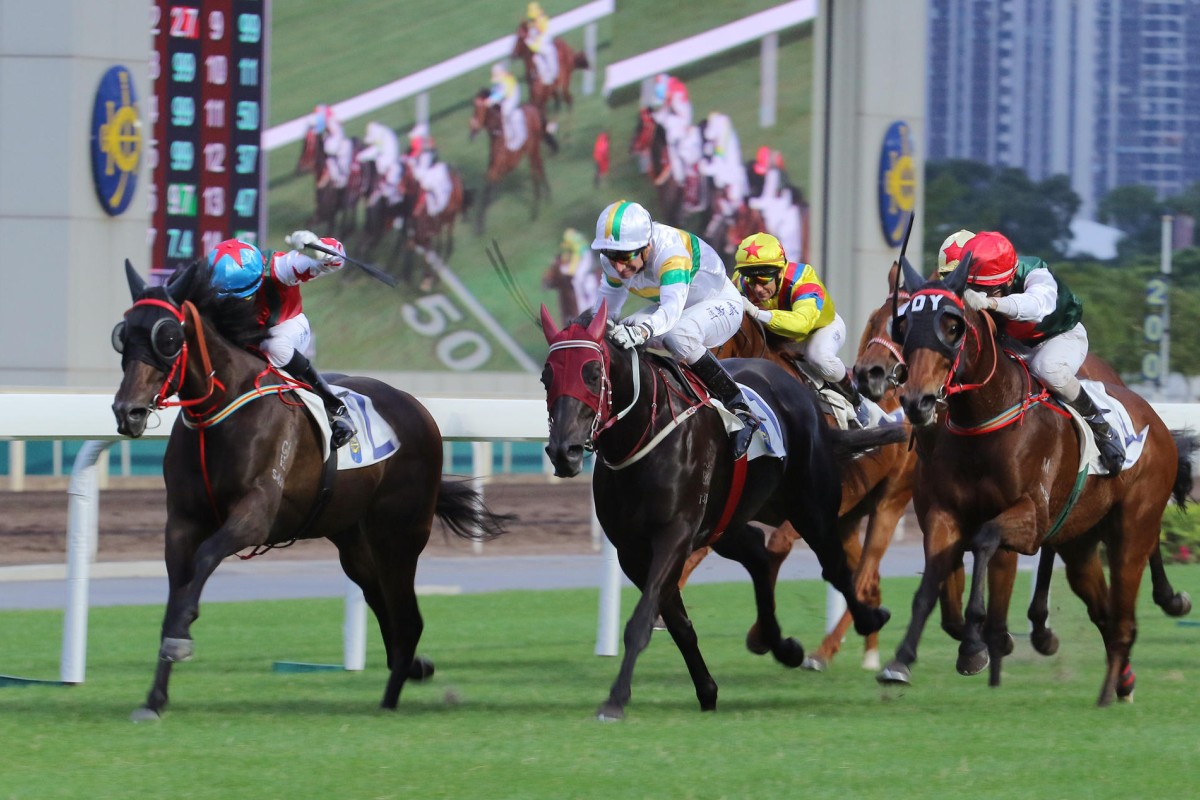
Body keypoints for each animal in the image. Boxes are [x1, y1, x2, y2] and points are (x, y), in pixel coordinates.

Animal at [110, 261, 508, 719]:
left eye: (169, 338)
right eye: (123, 334)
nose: (127, 411)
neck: (220, 413)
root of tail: (418, 408)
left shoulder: (255, 515)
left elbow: (205, 559)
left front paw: (180, 639)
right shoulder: (181, 521)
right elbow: (177, 591)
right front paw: (154, 698)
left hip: (400, 535)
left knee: (408, 618)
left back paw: (390, 700)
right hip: (354, 542)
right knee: (386, 608)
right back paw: (411, 670)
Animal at [468, 91, 552, 235]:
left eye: (478, 109)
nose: (472, 131)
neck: (498, 133)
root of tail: (534, 109)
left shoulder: (502, 167)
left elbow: (487, 192)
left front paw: (479, 226)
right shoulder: (494, 168)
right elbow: (486, 192)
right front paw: (479, 224)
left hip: (533, 150)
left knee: (536, 172)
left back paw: (535, 211)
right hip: (533, 151)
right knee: (540, 168)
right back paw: (547, 197)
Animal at [540, 303, 902, 724]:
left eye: (593, 373)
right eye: (547, 376)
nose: (563, 451)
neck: (643, 433)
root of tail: (800, 392)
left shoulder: (674, 535)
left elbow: (641, 621)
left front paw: (615, 699)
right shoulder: (633, 551)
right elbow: (678, 625)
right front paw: (707, 690)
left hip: (812, 505)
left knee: (835, 566)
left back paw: (869, 619)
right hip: (727, 521)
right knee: (759, 554)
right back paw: (780, 645)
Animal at [878, 256, 1195, 705]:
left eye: (953, 326)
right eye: (905, 325)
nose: (916, 400)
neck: (985, 419)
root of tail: (1157, 422)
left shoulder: (1030, 519)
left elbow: (986, 541)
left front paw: (975, 647)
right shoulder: (943, 515)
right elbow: (929, 587)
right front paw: (901, 660)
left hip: (1132, 530)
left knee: (1124, 617)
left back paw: (1109, 688)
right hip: (1082, 544)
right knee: (1105, 613)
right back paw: (1120, 682)